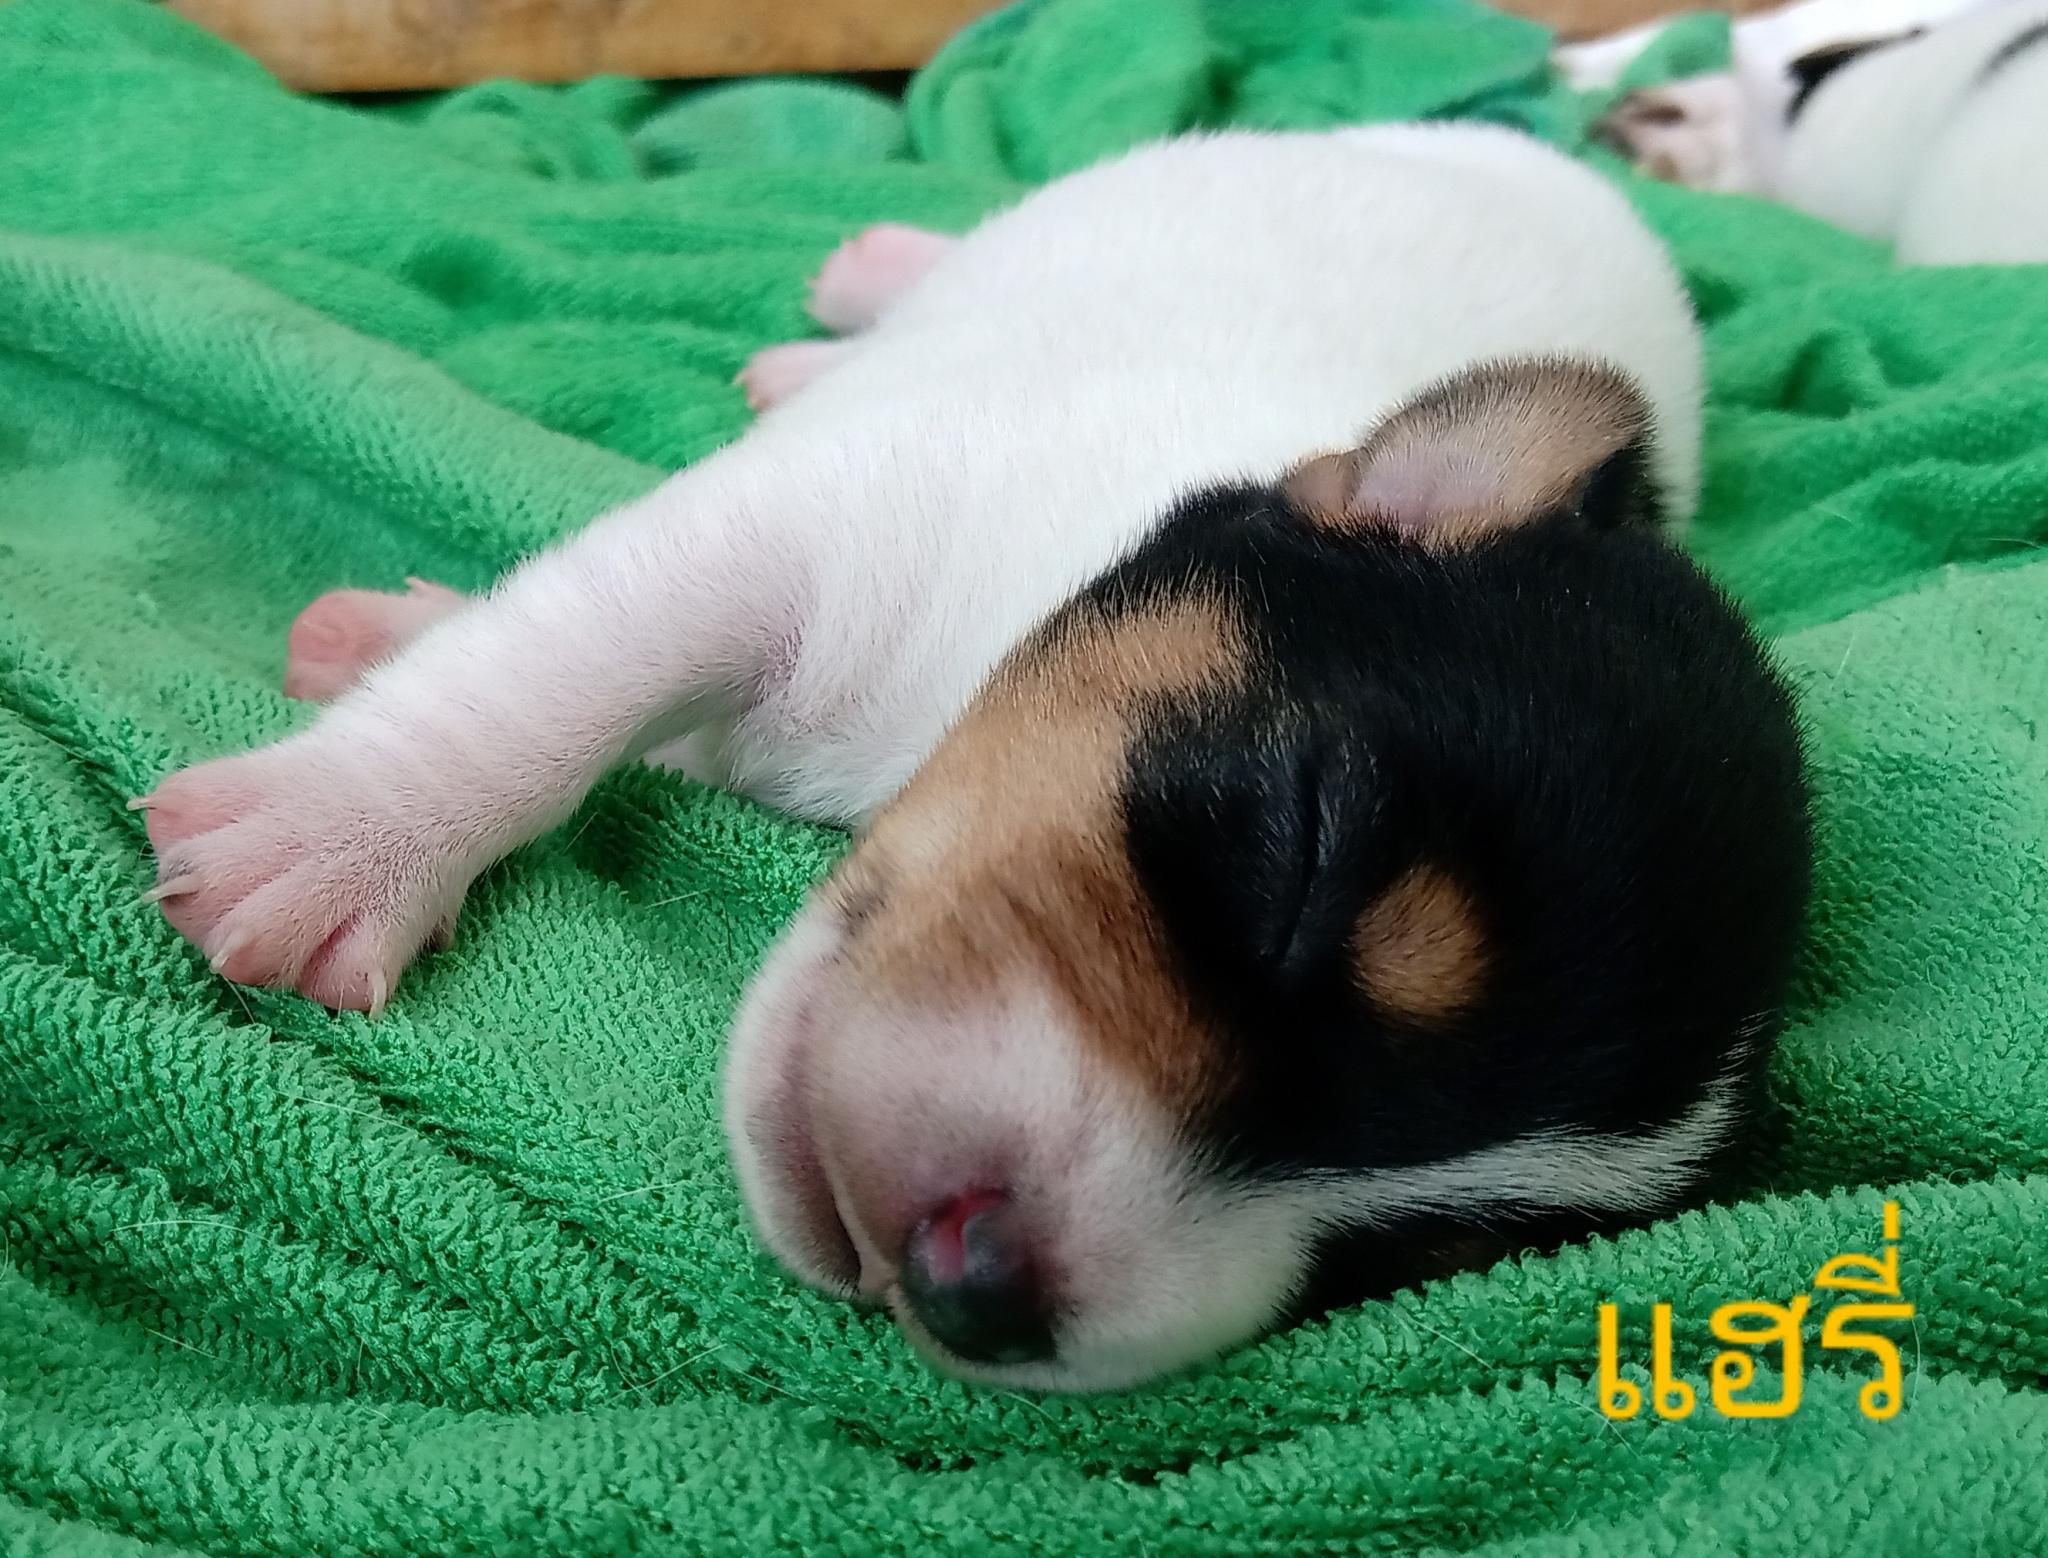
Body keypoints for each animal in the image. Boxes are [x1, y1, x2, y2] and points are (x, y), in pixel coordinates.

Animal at [141, 124, 1811, 1391]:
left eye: (1416, 1257)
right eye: (1298, 864)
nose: (986, 1286)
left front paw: (393, 647)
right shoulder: (780, 531)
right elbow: (557, 675)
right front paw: (334, 833)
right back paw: (868, 270)